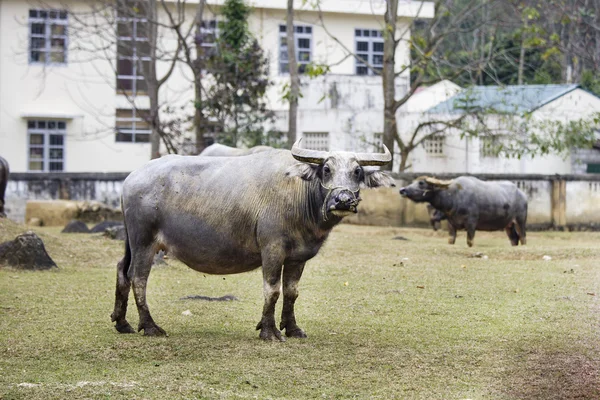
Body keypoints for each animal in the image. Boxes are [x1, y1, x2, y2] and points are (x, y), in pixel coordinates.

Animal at [112, 140, 394, 340]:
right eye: (326, 169)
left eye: (357, 171)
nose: (343, 200)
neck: (299, 195)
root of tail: (130, 179)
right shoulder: (272, 250)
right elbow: (272, 290)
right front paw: (269, 331)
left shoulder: (298, 258)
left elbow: (291, 292)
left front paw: (292, 329)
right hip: (144, 243)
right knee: (138, 278)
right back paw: (150, 326)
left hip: (131, 243)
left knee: (122, 270)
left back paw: (122, 322)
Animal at [400, 176, 528, 247]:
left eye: (421, 183)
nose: (402, 190)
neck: (454, 197)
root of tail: (523, 195)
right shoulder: (451, 224)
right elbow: (451, 241)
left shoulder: (471, 224)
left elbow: (469, 242)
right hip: (508, 225)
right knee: (514, 239)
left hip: (520, 221)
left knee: (522, 238)